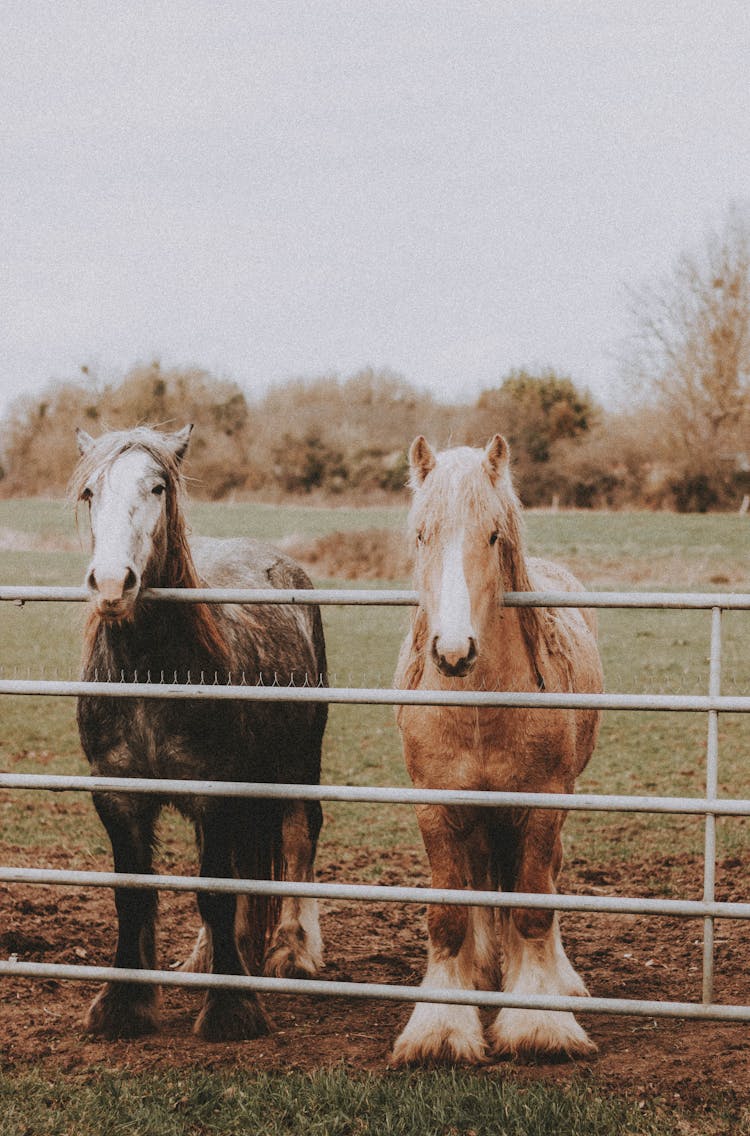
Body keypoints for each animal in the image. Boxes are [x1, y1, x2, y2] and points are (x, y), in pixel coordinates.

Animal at [71, 424, 327, 1040]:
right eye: (90, 492)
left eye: (158, 487)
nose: (111, 583)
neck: (150, 675)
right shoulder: (117, 795)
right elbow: (133, 894)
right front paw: (124, 1002)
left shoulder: (215, 792)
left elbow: (213, 890)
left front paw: (232, 1009)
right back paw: (209, 955)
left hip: (299, 763)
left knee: (299, 835)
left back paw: (293, 951)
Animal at [393, 433, 604, 1063]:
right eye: (422, 534)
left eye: (493, 535)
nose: (453, 651)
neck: (479, 709)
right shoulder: (436, 805)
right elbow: (448, 916)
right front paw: (441, 1026)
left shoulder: (542, 803)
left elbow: (533, 906)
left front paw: (538, 1022)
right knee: (484, 879)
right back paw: (486, 969)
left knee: (541, 879)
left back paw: (554, 978)